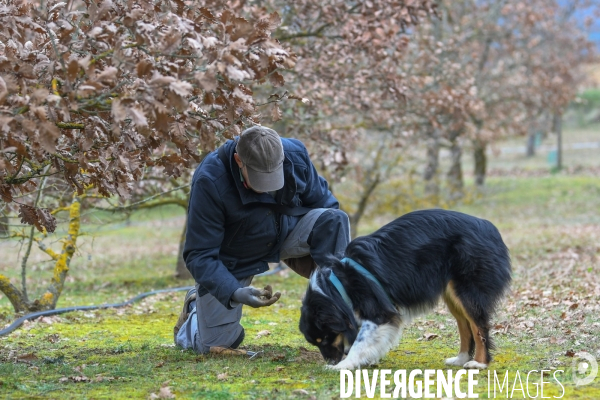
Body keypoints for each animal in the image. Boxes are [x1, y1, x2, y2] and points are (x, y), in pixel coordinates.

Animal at [300, 209, 510, 368]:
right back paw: (461, 359)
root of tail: (490, 228)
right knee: (465, 326)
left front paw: (343, 366)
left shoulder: (379, 312)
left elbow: (360, 342)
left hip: (468, 291)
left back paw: (479, 363)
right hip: (453, 295)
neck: (338, 286)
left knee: (479, 327)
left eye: (324, 338)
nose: (331, 361)